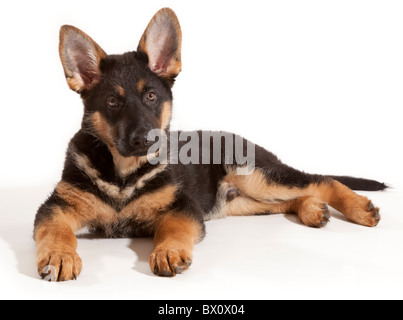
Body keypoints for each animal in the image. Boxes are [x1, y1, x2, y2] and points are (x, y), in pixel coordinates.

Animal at [34, 8, 388, 282]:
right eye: (112, 102)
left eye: (151, 96)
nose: (145, 139)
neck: (124, 173)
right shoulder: (57, 208)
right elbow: (55, 231)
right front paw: (59, 255)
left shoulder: (183, 208)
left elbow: (172, 228)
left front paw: (168, 251)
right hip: (244, 201)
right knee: (291, 198)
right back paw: (312, 209)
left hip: (254, 176)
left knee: (320, 180)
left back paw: (356, 208)